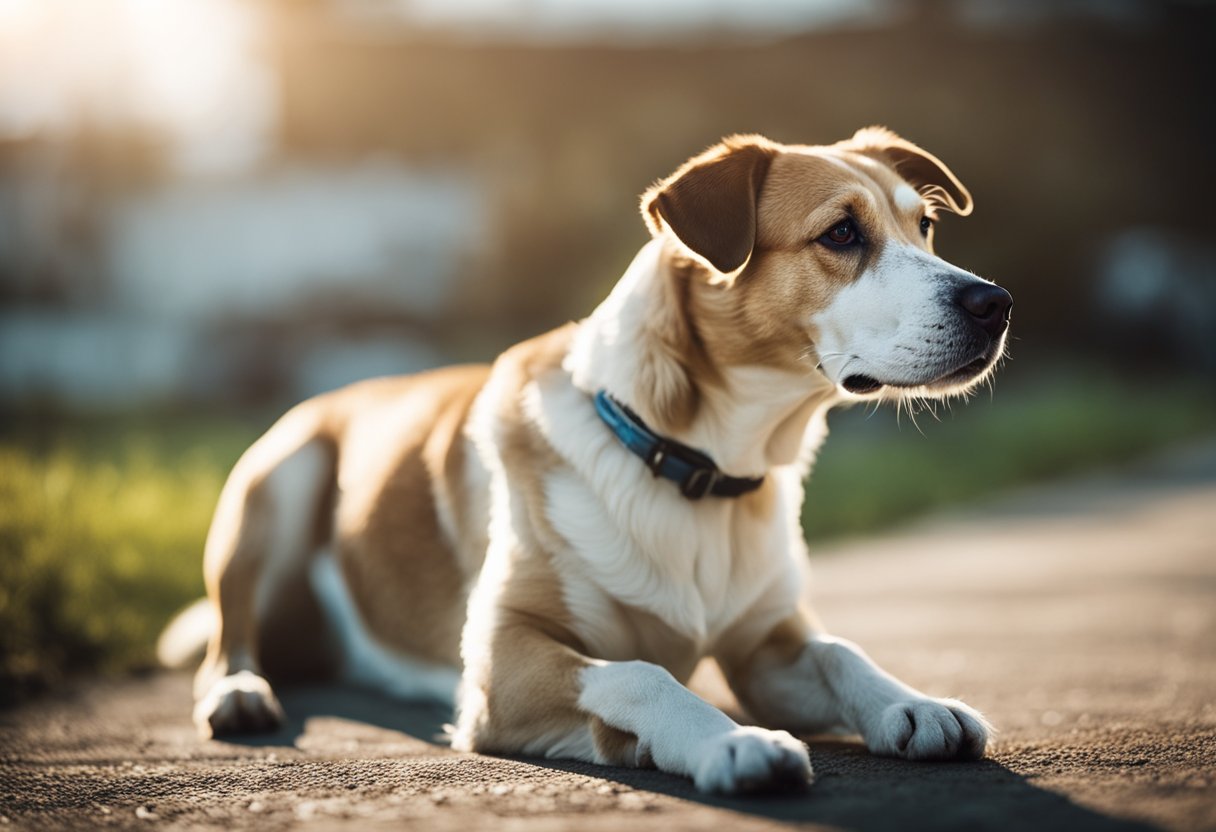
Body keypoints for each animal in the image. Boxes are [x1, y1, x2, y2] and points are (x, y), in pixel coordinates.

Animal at [166, 128, 1011, 793]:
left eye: (925, 226)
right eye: (840, 234)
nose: (994, 303)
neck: (696, 466)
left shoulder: (766, 646)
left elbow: (840, 651)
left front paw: (911, 703)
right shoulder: (502, 662)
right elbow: (640, 673)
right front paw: (728, 740)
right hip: (279, 478)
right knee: (228, 633)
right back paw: (238, 690)